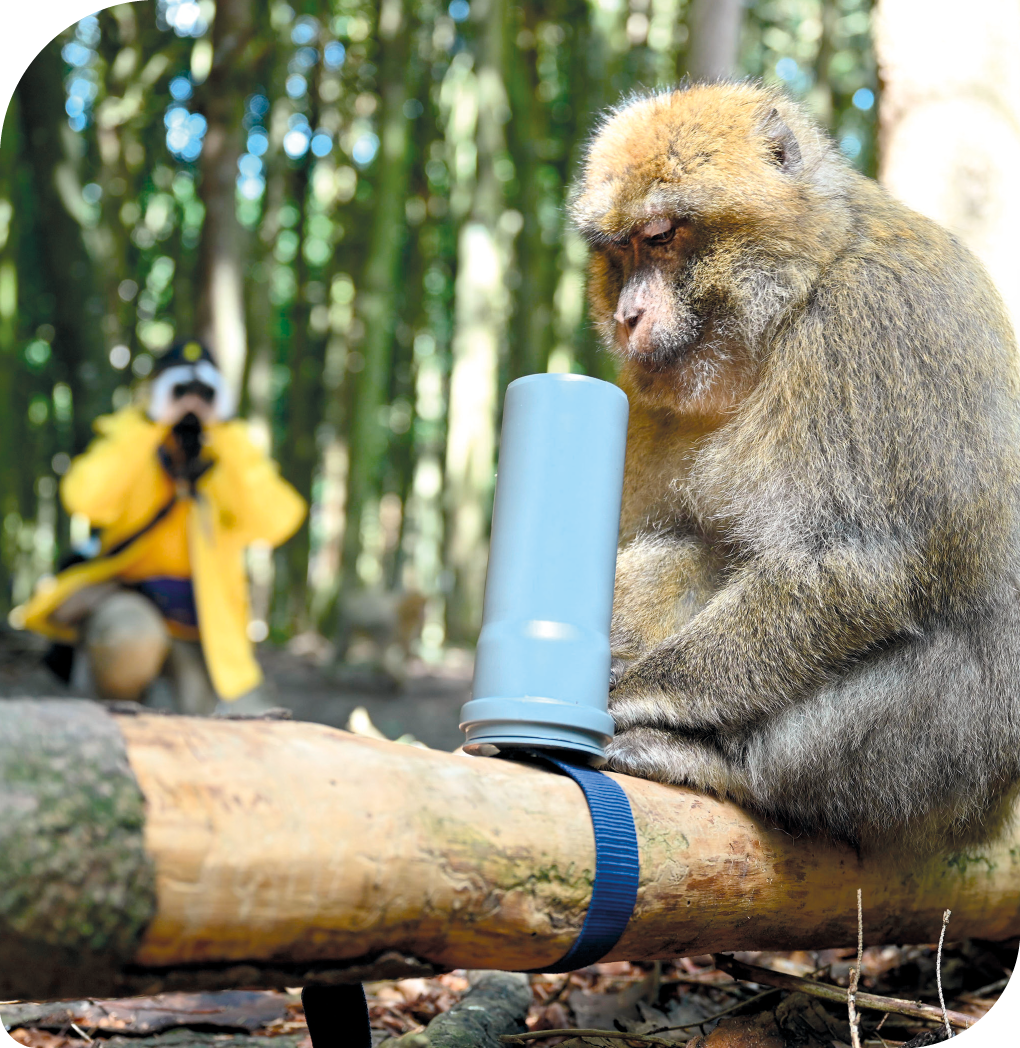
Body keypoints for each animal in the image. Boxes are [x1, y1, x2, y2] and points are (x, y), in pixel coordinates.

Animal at [570, 81, 1018, 850]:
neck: (795, 296)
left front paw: (630, 692)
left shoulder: (870, 320)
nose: (627, 315)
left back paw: (735, 770)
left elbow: (851, 564)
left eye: (660, 236)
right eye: (619, 250)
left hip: (964, 762)